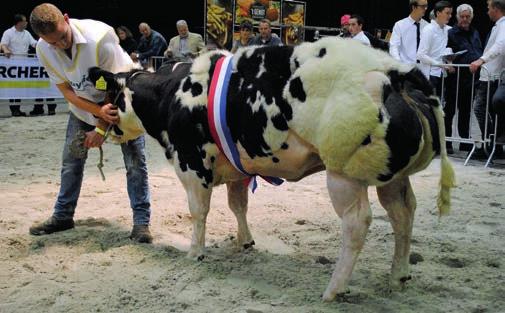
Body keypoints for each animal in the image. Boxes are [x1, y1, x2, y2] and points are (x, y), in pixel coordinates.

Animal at [88, 37, 454, 302]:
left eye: (109, 97)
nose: (100, 124)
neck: (173, 93)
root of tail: (394, 69)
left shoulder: (191, 164)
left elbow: (199, 212)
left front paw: (195, 252)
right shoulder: (237, 167)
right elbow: (238, 205)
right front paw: (245, 242)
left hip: (344, 174)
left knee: (357, 223)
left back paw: (334, 290)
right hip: (393, 175)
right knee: (403, 213)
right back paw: (398, 275)